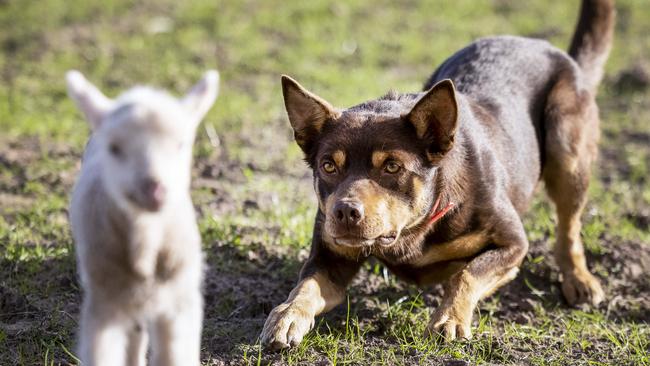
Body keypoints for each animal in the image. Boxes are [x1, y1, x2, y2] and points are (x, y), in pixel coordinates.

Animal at [66, 69, 219, 366]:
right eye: (114, 148)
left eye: (181, 144)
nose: (154, 189)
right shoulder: (104, 304)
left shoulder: (179, 305)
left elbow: (173, 357)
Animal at [260, 0, 612, 348]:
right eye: (328, 166)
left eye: (392, 166)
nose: (345, 212)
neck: (416, 228)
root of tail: (553, 50)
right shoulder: (330, 255)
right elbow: (306, 286)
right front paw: (287, 314)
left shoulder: (513, 243)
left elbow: (466, 274)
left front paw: (448, 319)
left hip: (566, 151)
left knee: (568, 227)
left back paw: (579, 279)